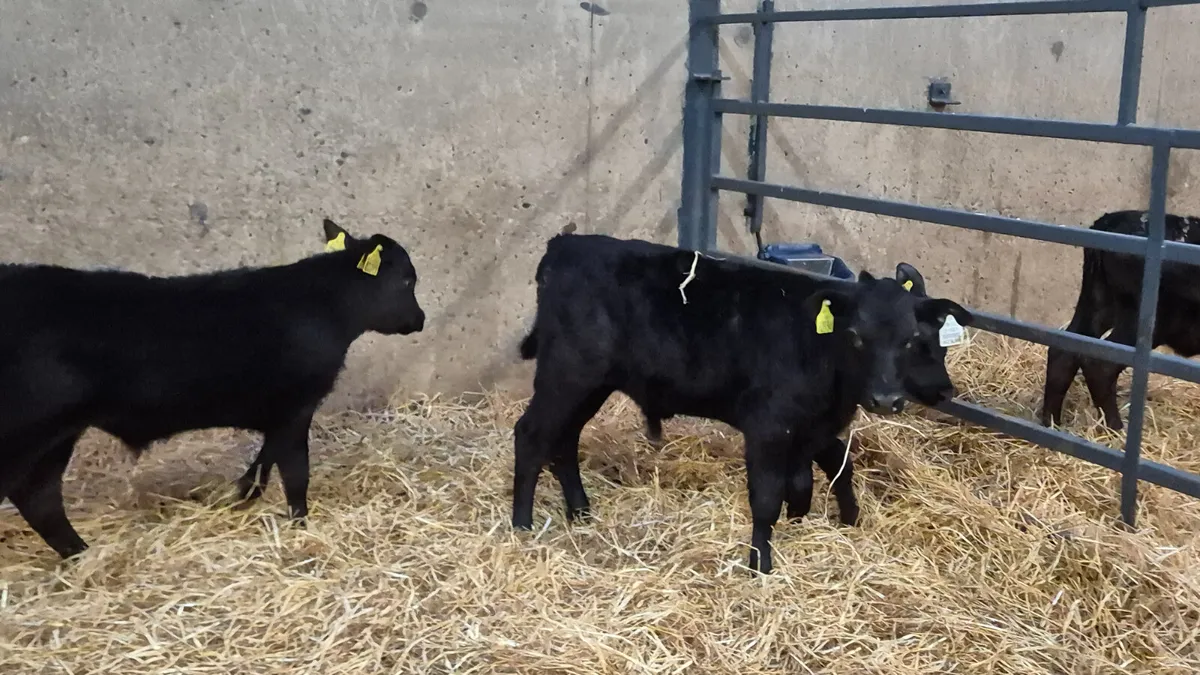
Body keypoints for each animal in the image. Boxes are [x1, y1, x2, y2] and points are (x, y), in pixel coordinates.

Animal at [0, 218, 425, 559]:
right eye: (407, 280)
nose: (420, 319)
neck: (326, 307)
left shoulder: (279, 412)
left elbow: (264, 461)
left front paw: (241, 496)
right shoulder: (297, 405)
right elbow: (295, 472)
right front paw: (300, 525)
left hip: (56, 435)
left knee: (39, 498)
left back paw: (82, 556)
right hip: (31, 429)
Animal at [512, 233, 972, 574]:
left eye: (912, 339)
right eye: (857, 336)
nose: (887, 399)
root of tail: (566, 244)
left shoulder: (811, 428)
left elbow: (814, 477)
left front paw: (824, 523)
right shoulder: (768, 427)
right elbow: (768, 497)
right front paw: (760, 566)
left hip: (591, 384)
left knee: (564, 439)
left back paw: (581, 512)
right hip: (567, 373)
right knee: (531, 435)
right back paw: (522, 526)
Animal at [1042, 209, 1200, 431]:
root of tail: (1109, 221)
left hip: (1098, 302)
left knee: (1065, 350)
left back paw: (1051, 422)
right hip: (1151, 321)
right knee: (1101, 364)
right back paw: (1116, 428)